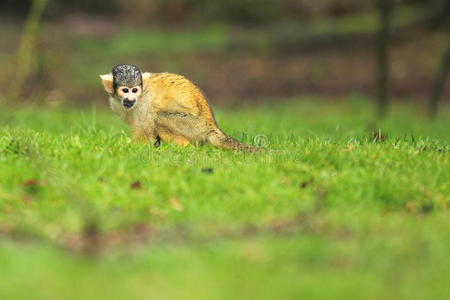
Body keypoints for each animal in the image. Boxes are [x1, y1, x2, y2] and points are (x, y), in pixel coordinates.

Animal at [100, 64, 258, 151]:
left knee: (160, 117)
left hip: (195, 127)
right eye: (125, 90)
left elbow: (145, 131)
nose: (130, 99)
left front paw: (125, 149)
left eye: (134, 90)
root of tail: (212, 126)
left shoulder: (145, 104)